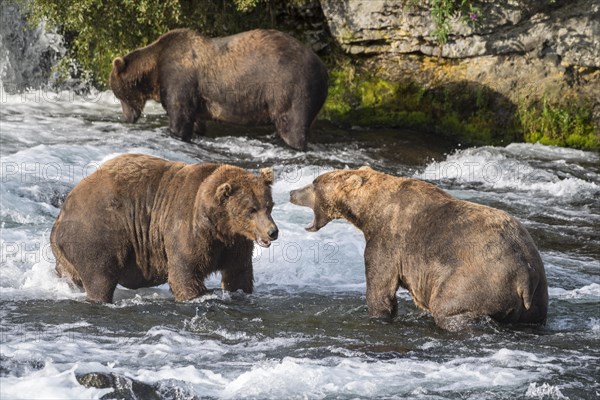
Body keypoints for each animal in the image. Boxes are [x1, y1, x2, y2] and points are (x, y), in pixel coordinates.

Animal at [50, 154, 278, 304]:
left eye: (269, 205)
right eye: (251, 209)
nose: (272, 232)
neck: (218, 225)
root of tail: (62, 212)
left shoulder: (235, 243)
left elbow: (238, 273)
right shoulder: (188, 230)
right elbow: (185, 272)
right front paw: (196, 294)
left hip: (67, 255)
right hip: (98, 233)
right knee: (100, 278)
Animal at [110, 28, 330, 150]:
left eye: (118, 94)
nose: (126, 118)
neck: (154, 71)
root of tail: (323, 67)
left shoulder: (179, 79)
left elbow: (179, 116)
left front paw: (176, 133)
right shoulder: (198, 97)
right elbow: (197, 120)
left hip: (291, 87)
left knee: (292, 125)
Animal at [290, 166, 548, 332]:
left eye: (314, 182)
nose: (292, 192)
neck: (371, 211)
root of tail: (524, 273)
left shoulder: (389, 240)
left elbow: (380, 284)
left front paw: (378, 315)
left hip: (479, 276)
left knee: (448, 305)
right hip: (538, 291)